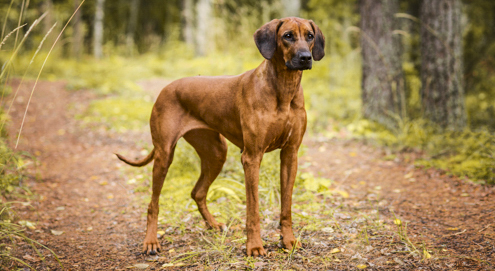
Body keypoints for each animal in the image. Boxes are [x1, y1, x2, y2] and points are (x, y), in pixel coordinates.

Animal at [116, 17, 326, 258]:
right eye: (288, 36)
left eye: (309, 36)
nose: (305, 57)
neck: (283, 88)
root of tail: (166, 88)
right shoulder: (252, 157)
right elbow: (253, 209)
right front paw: (254, 246)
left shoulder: (290, 154)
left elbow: (287, 206)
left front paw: (288, 240)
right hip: (164, 154)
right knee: (153, 204)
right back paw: (151, 241)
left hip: (216, 152)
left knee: (197, 192)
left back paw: (213, 224)